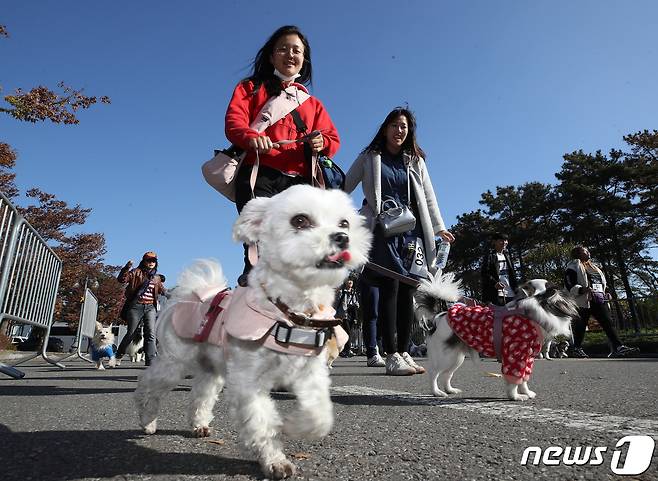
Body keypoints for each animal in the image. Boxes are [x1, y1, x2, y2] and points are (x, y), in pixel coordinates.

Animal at [133, 186, 368, 478]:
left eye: (344, 223)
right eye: (300, 220)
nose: (342, 237)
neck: (288, 312)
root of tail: (193, 294)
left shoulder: (311, 372)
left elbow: (320, 415)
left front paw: (293, 424)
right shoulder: (248, 380)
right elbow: (260, 421)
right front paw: (274, 460)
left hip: (211, 368)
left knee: (201, 393)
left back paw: (199, 424)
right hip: (174, 362)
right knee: (148, 385)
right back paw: (147, 419)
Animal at [412, 274, 576, 402]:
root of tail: (439, 316)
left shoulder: (527, 358)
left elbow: (524, 378)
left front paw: (526, 392)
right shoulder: (515, 356)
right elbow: (514, 381)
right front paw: (515, 396)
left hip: (455, 357)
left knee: (447, 374)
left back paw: (449, 390)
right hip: (444, 356)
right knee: (433, 373)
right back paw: (436, 392)